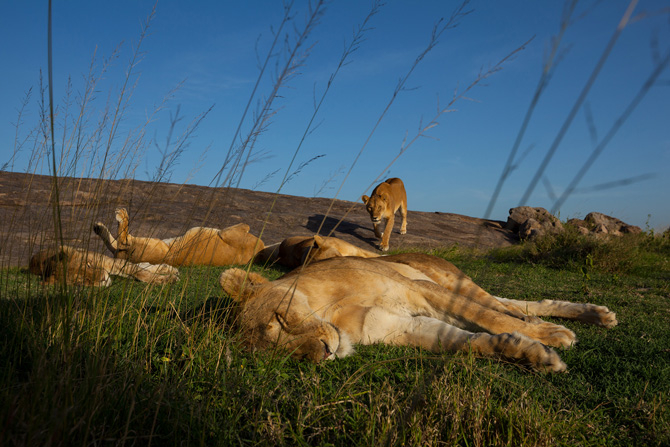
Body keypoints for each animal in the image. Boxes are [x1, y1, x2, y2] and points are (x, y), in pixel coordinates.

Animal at [29, 245, 178, 288]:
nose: (103, 279)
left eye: (89, 265)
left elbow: (139, 272)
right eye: (83, 281)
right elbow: (138, 272)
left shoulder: (108, 263)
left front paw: (168, 279)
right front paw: (168, 277)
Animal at [94, 209, 266, 268]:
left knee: (123, 241)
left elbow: (246, 224)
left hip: (150, 245)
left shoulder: (229, 234)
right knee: (116, 244)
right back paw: (98, 227)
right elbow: (246, 224)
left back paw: (119, 216)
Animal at [220, 254, 620, 372]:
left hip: (451, 282)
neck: (334, 311)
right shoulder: (398, 328)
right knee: (517, 305)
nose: (326, 352)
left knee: (503, 307)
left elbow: (492, 321)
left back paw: (563, 324)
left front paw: (549, 339)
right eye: (281, 355)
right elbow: (467, 343)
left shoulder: (419, 290)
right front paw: (533, 356)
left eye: (280, 319)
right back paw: (596, 316)